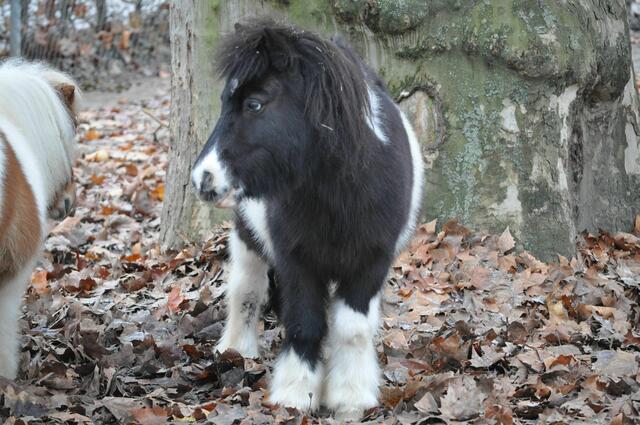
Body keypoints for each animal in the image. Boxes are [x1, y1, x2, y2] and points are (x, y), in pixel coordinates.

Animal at [191, 21, 424, 419]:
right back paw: (236, 349)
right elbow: (304, 324)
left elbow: (352, 329)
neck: (338, 192)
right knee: (246, 290)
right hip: (248, 238)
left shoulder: (370, 263)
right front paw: (296, 395)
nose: (203, 179)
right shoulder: (297, 262)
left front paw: (349, 398)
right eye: (224, 101)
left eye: (255, 104)